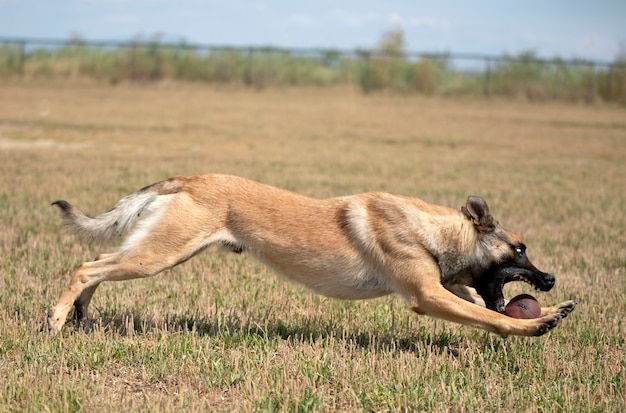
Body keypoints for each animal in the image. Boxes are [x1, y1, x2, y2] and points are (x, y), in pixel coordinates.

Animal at [48, 172, 576, 336]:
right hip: (159, 255)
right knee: (85, 267)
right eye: (520, 249)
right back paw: (55, 320)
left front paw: (547, 312)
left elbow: (486, 307)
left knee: (95, 270)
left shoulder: (445, 285)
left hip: (154, 252)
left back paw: (80, 315)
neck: (430, 229)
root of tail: (189, 179)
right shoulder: (428, 295)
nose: (550, 280)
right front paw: (537, 323)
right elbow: (492, 315)